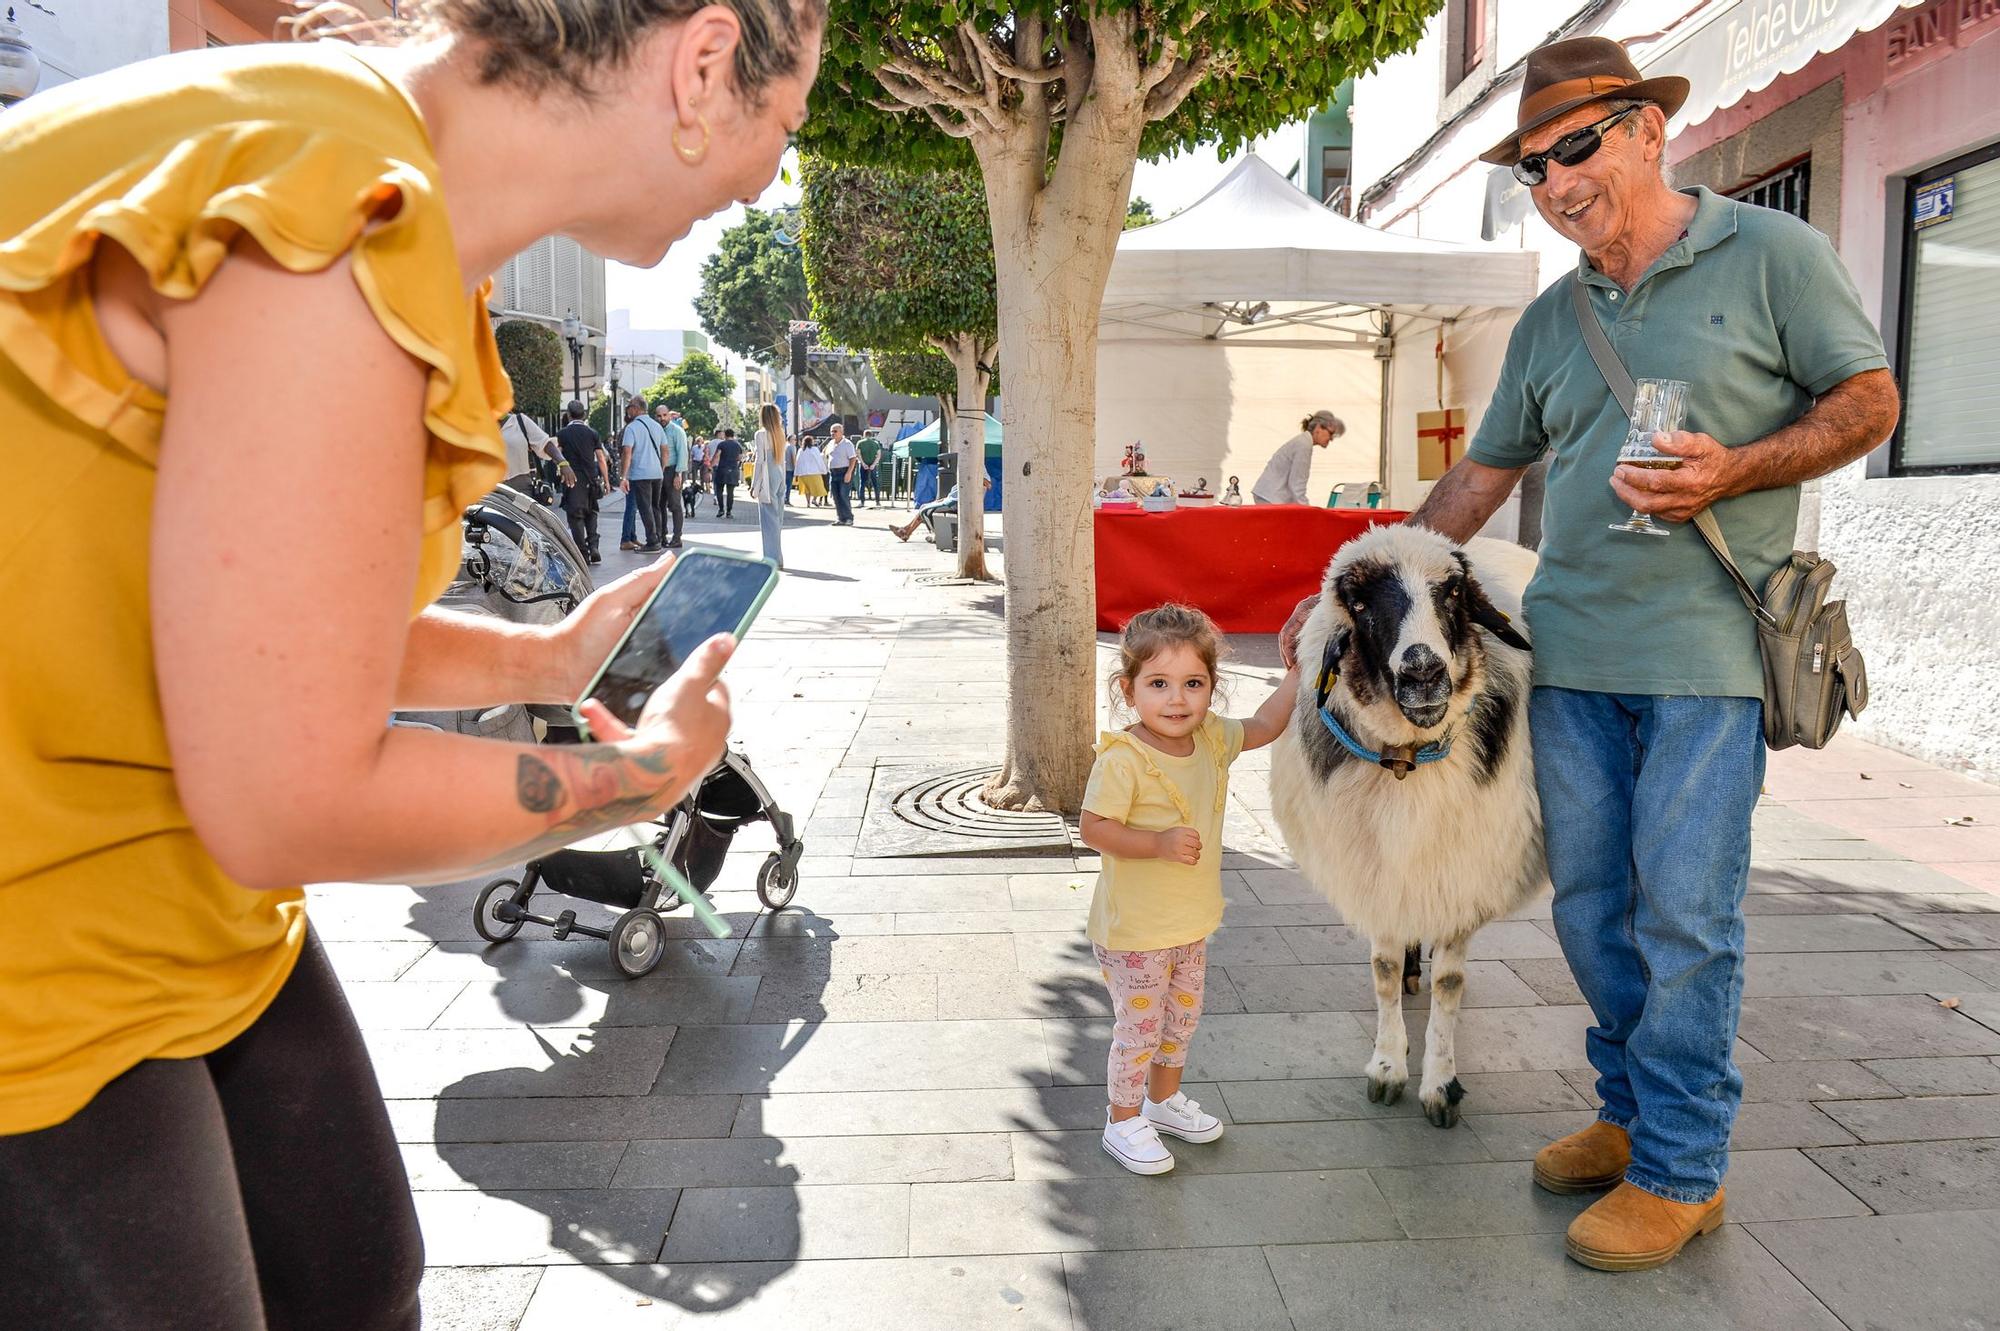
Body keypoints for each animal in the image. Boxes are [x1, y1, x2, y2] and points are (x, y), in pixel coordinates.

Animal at [1264, 523, 1544, 1127]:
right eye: (1360, 604)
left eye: (1454, 593)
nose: (1424, 673)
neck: (1407, 761)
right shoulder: (1375, 871)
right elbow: (1385, 968)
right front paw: (1389, 1066)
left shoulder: (1463, 871)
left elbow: (1451, 982)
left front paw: (1440, 1084)